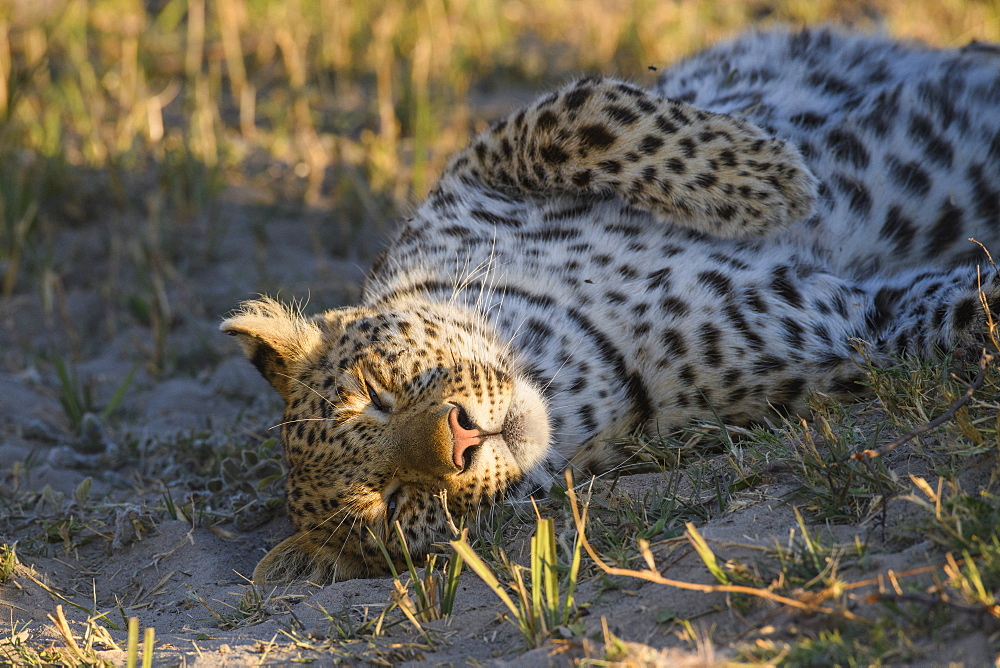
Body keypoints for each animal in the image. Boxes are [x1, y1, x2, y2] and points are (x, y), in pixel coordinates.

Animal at [221, 26, 1000, 580]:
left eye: (376, 391)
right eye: (392, 505)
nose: (462, 439)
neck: (572, 360)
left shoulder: (481, 165)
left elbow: (584, 112)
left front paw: (766, 179)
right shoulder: (858, 325)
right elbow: (966, 314)